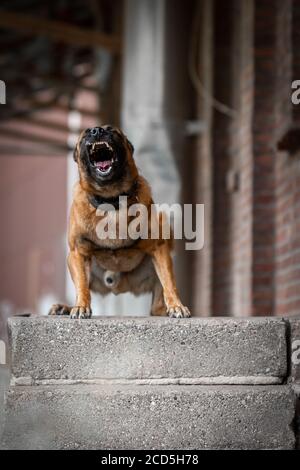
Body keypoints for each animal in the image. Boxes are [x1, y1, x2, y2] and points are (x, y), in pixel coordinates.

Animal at [49, 126, 190, 320]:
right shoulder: (78, 253)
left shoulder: (159, 249)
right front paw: (81, 307)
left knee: (156, 306)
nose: (97, 131)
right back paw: (65, 307)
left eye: (112, 131)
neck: (111, 199)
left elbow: (169, 282)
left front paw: (176, 305)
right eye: (85, 134)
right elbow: (82, 287)